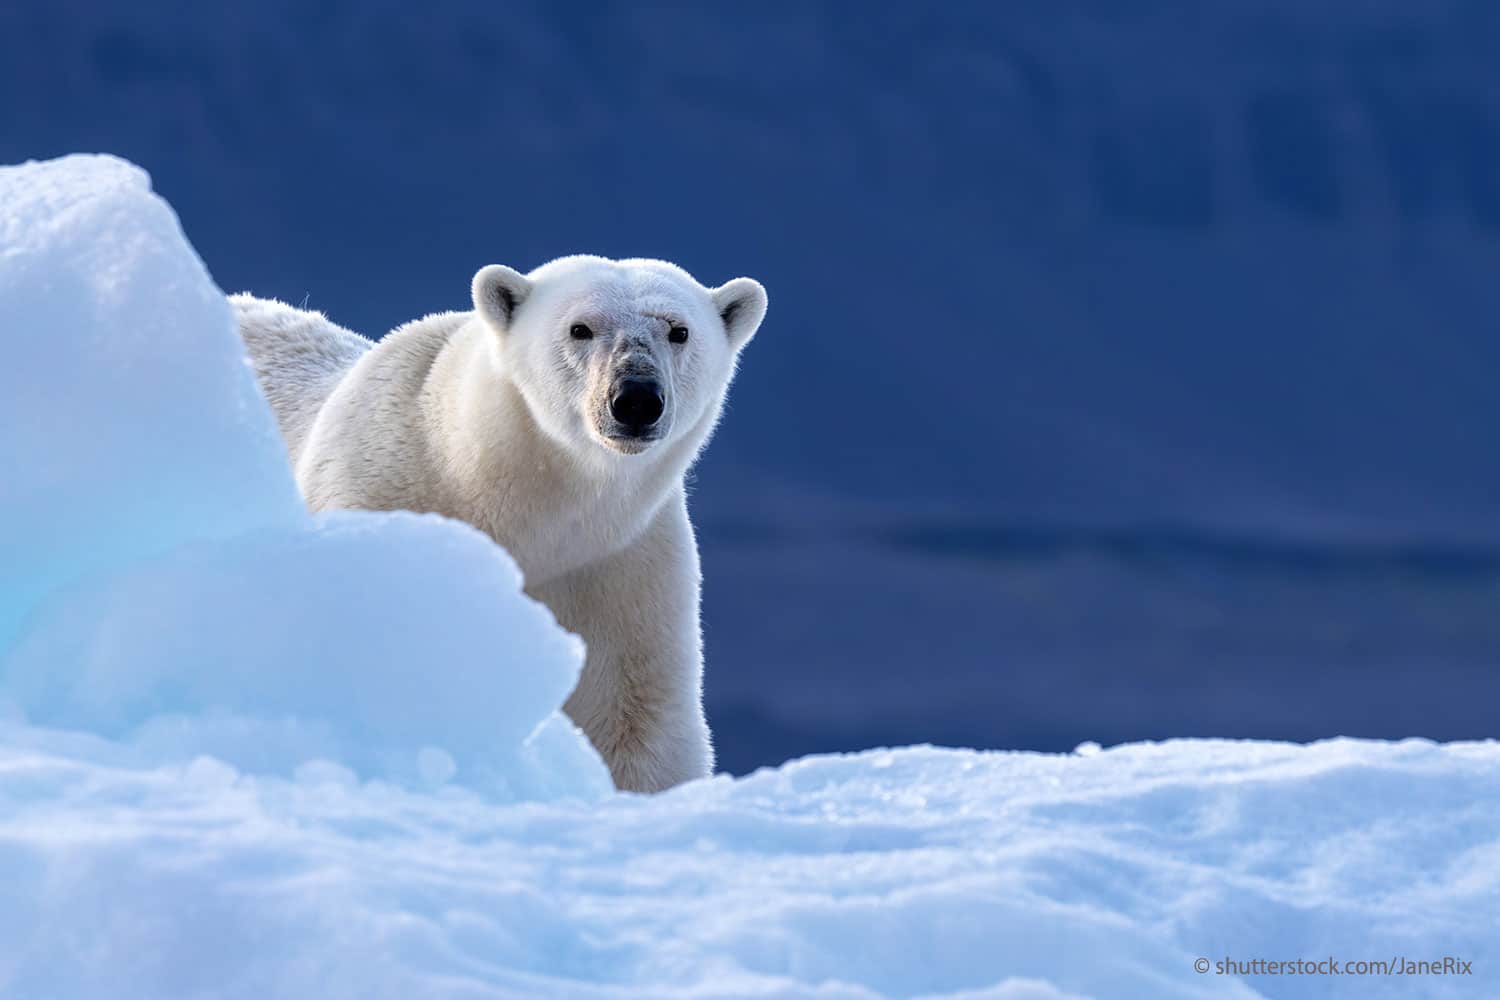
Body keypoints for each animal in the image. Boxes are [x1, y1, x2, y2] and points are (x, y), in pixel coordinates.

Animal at [233, 255, 767, 793]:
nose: (636, 398)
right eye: (580, 328)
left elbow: (635, 719)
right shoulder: (382, 505)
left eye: (679, 331)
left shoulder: (621, 569)